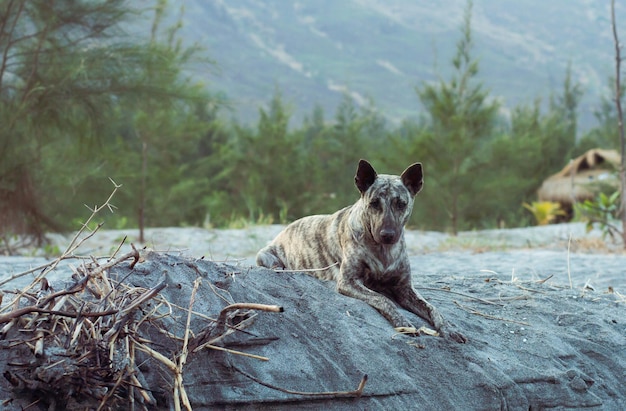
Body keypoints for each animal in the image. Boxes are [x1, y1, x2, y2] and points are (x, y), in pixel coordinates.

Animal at [256, 159, 466, 342]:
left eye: (401, 203)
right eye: (374, 203)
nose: (387, 234)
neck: (384, 250)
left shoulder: (405, 288)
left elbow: (432, 308)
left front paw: (449, 328)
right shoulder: (349, 282)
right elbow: (383, 299)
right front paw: (403, 322)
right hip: (264, 255)